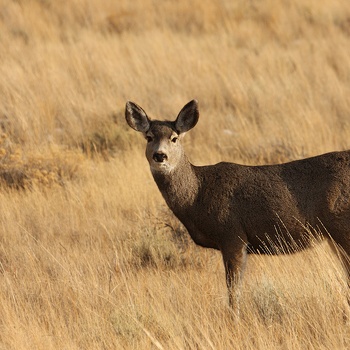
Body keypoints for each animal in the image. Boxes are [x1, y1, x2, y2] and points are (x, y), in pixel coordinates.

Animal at [126, 99, 350, 314]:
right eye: (149, 137)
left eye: (174, 138)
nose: (160, 155)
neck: (198, 194)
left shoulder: (233, 235)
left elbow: (233, 290)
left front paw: (234, 318)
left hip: (341, 227)